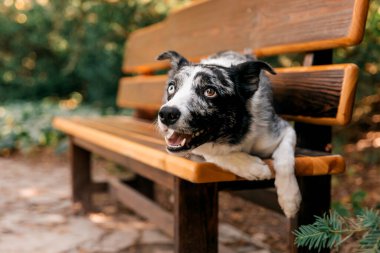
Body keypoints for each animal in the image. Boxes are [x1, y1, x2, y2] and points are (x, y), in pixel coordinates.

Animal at [156, 50, 302, 217]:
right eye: (172, 88)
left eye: (210, 91)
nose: (166, 114)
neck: (236, 133)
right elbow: (214, 153)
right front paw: (252, 167)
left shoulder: (284, 130)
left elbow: (285, 160)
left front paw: (290, 198)